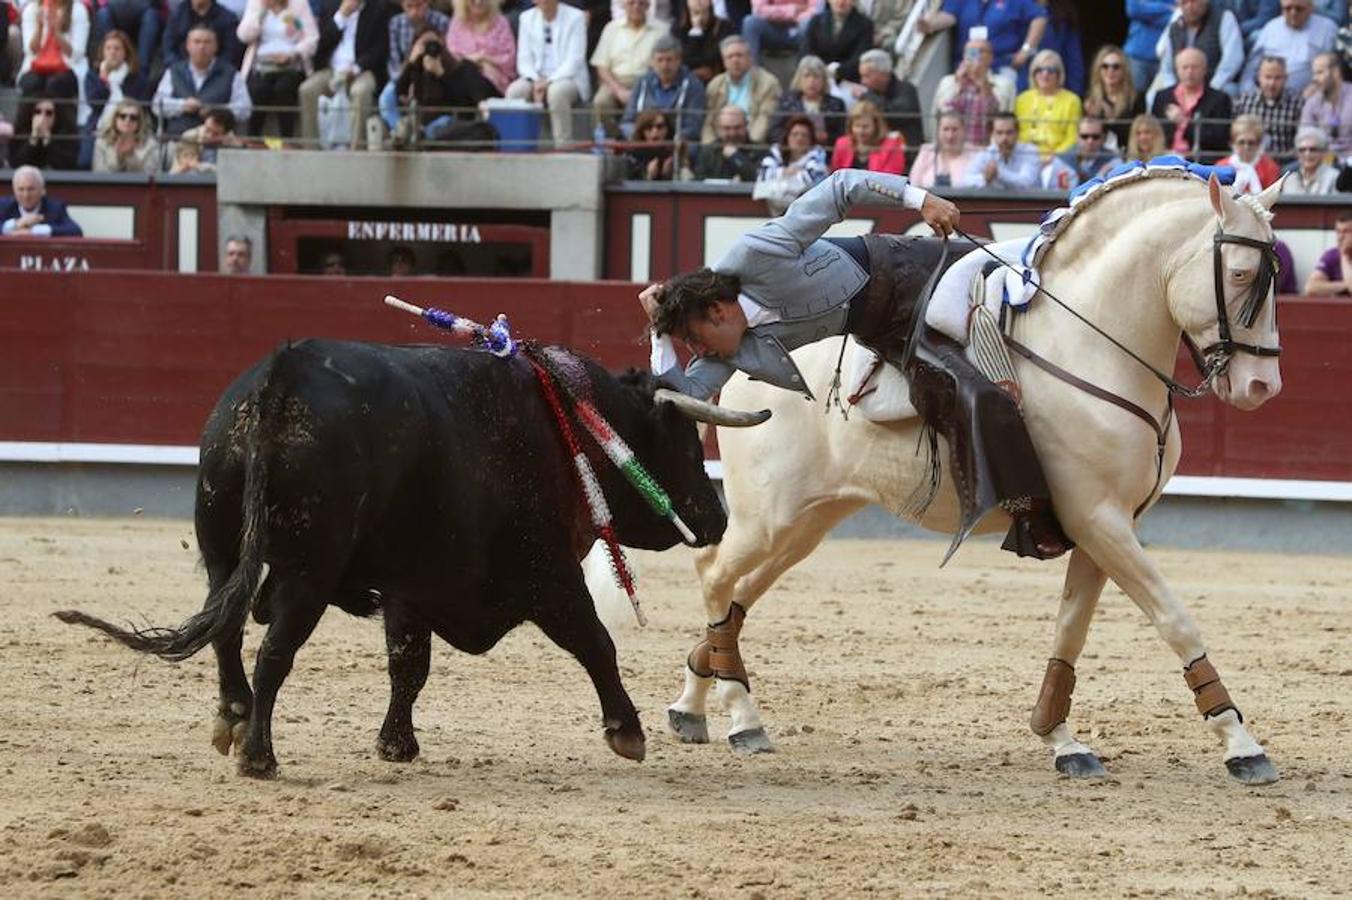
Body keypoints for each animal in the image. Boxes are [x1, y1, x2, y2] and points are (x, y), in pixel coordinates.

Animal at [58, 340, 740, 772]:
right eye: (685, 442)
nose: (719, 517)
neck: (570, 424)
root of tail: (280, 381)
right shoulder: (547, 574)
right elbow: (595, 641)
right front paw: (627, 732)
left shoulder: (413, 586)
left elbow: (408, 663)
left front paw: (395, 745)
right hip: (308, 572)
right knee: (274, 648)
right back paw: (259, 754)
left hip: (222, 544)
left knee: (226, 629)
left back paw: (234, 717)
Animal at [667, 171, 1287, 783]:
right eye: (1239, 274)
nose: (1262, 387)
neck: (1088, 343)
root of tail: (740, 373)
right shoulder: (1098, 519)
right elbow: (1175, 619)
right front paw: (1242, 744)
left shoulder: (1106, 526)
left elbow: (1071, 629)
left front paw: (1059, 737)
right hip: (768, 517)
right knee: (713, 573)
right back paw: (742, 717)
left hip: (809, 520)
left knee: (733, 593)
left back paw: (693, 704)